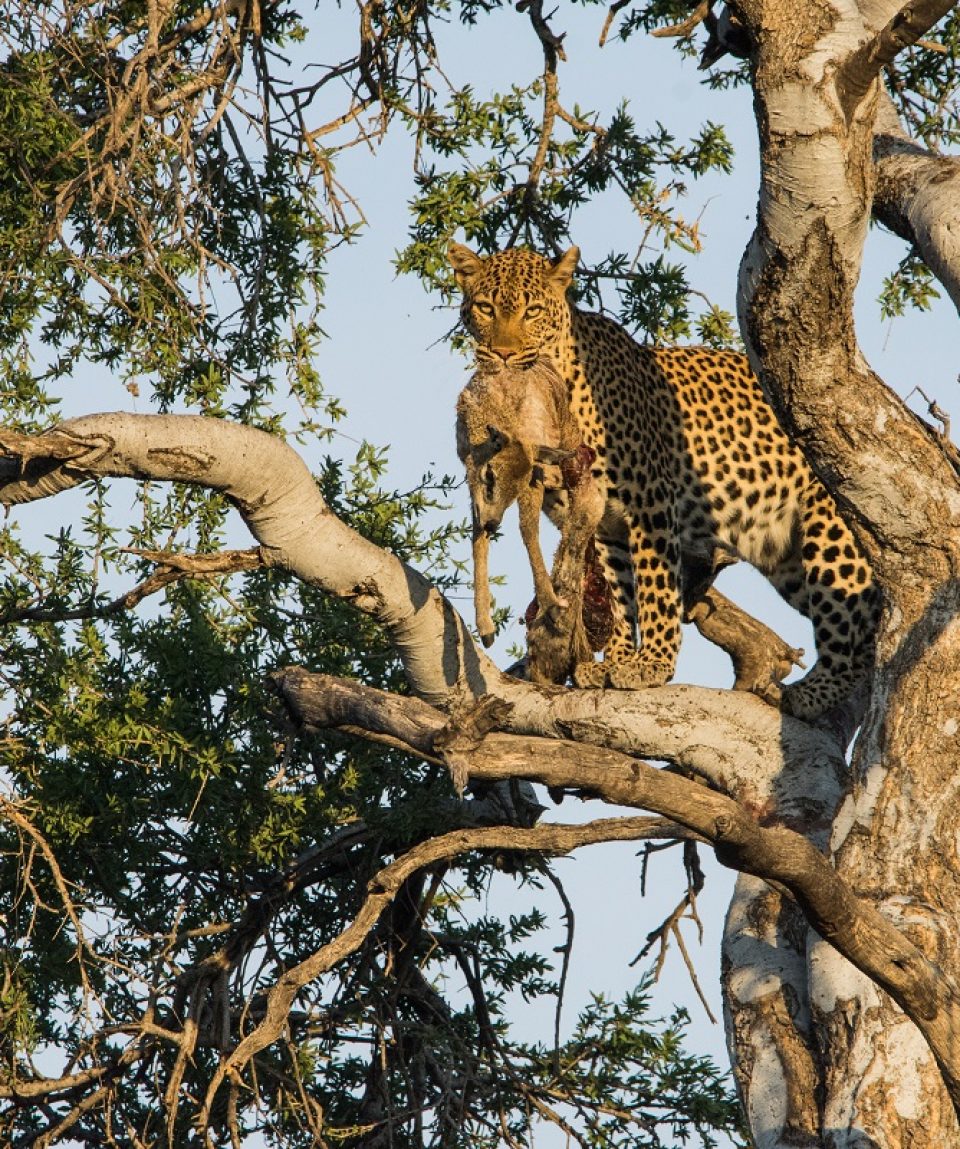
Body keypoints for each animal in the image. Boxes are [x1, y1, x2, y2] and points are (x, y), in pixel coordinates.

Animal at [450, 243, 877, 721]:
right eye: (485, 308)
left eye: (532, 311)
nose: (502, 354)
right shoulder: (607, 522)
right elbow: (619, 592)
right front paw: (616, 659)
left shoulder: (649, 502)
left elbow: (654, 584)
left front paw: (652, 663)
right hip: (788, 557)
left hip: (831, 531)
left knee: (851, 624)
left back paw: (809, 693)